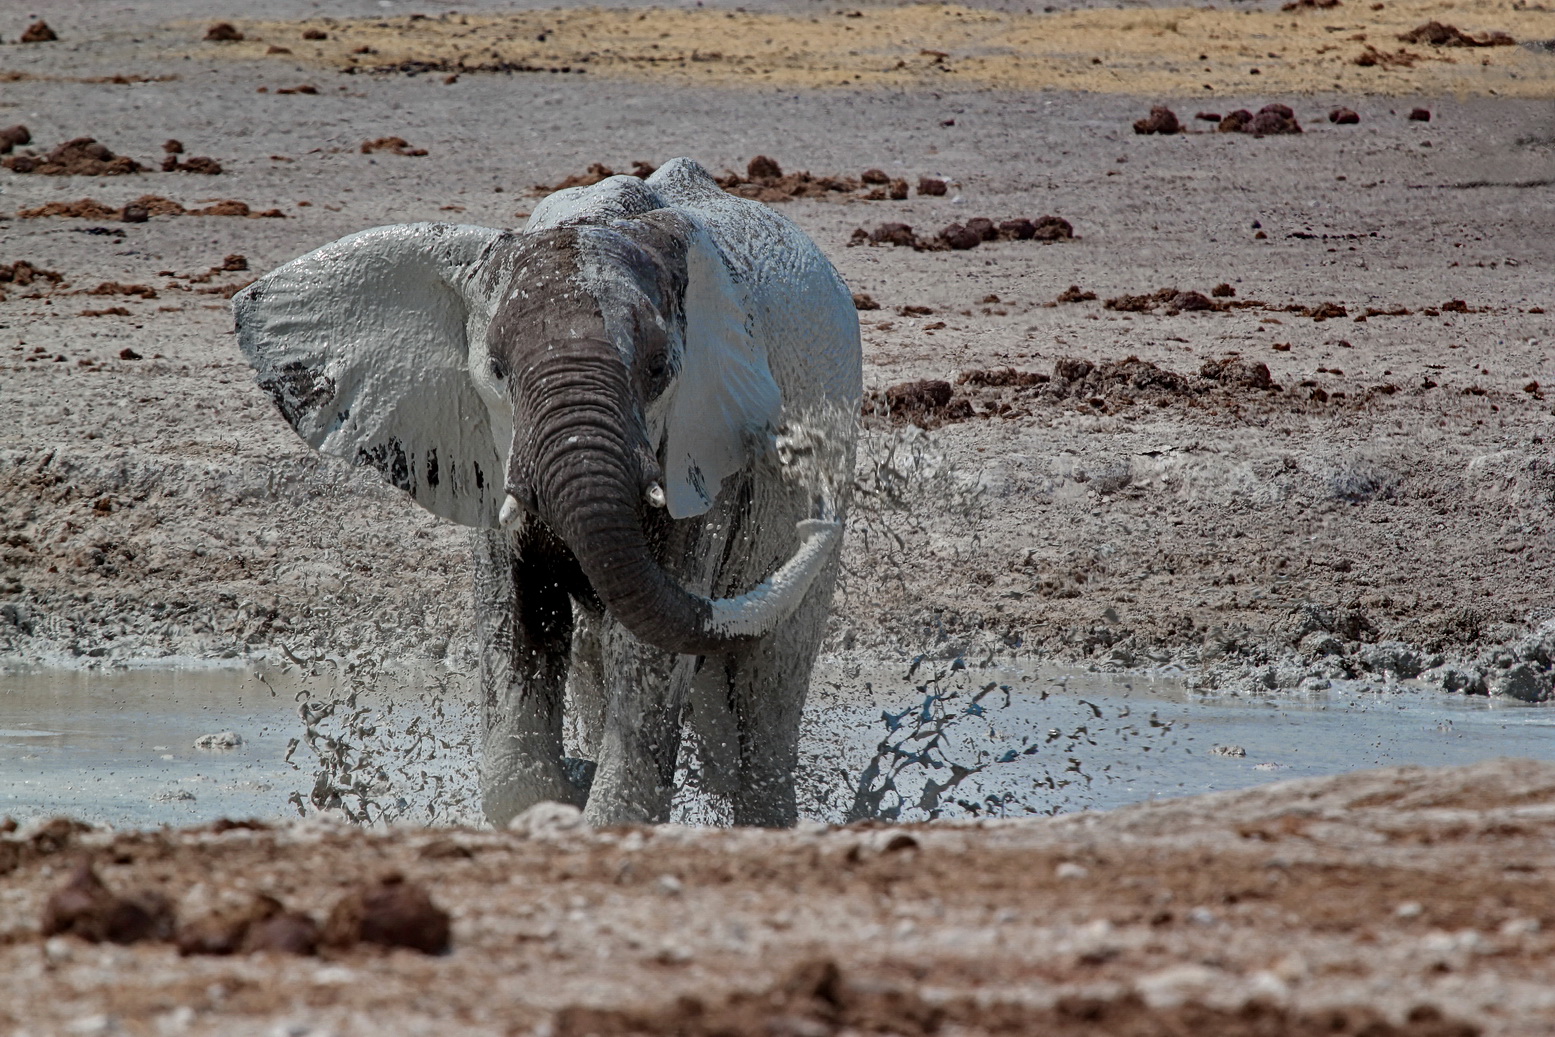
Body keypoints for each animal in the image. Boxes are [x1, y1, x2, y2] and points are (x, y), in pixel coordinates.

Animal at [230, 158, 864, 833]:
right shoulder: (488, 454)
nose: (816, 523)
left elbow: (647, 650)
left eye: (661, 370)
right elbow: (519, 616)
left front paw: (591, 799)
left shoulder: (701, 456)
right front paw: (562, 793)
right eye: (497, 370)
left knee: (766, 694)